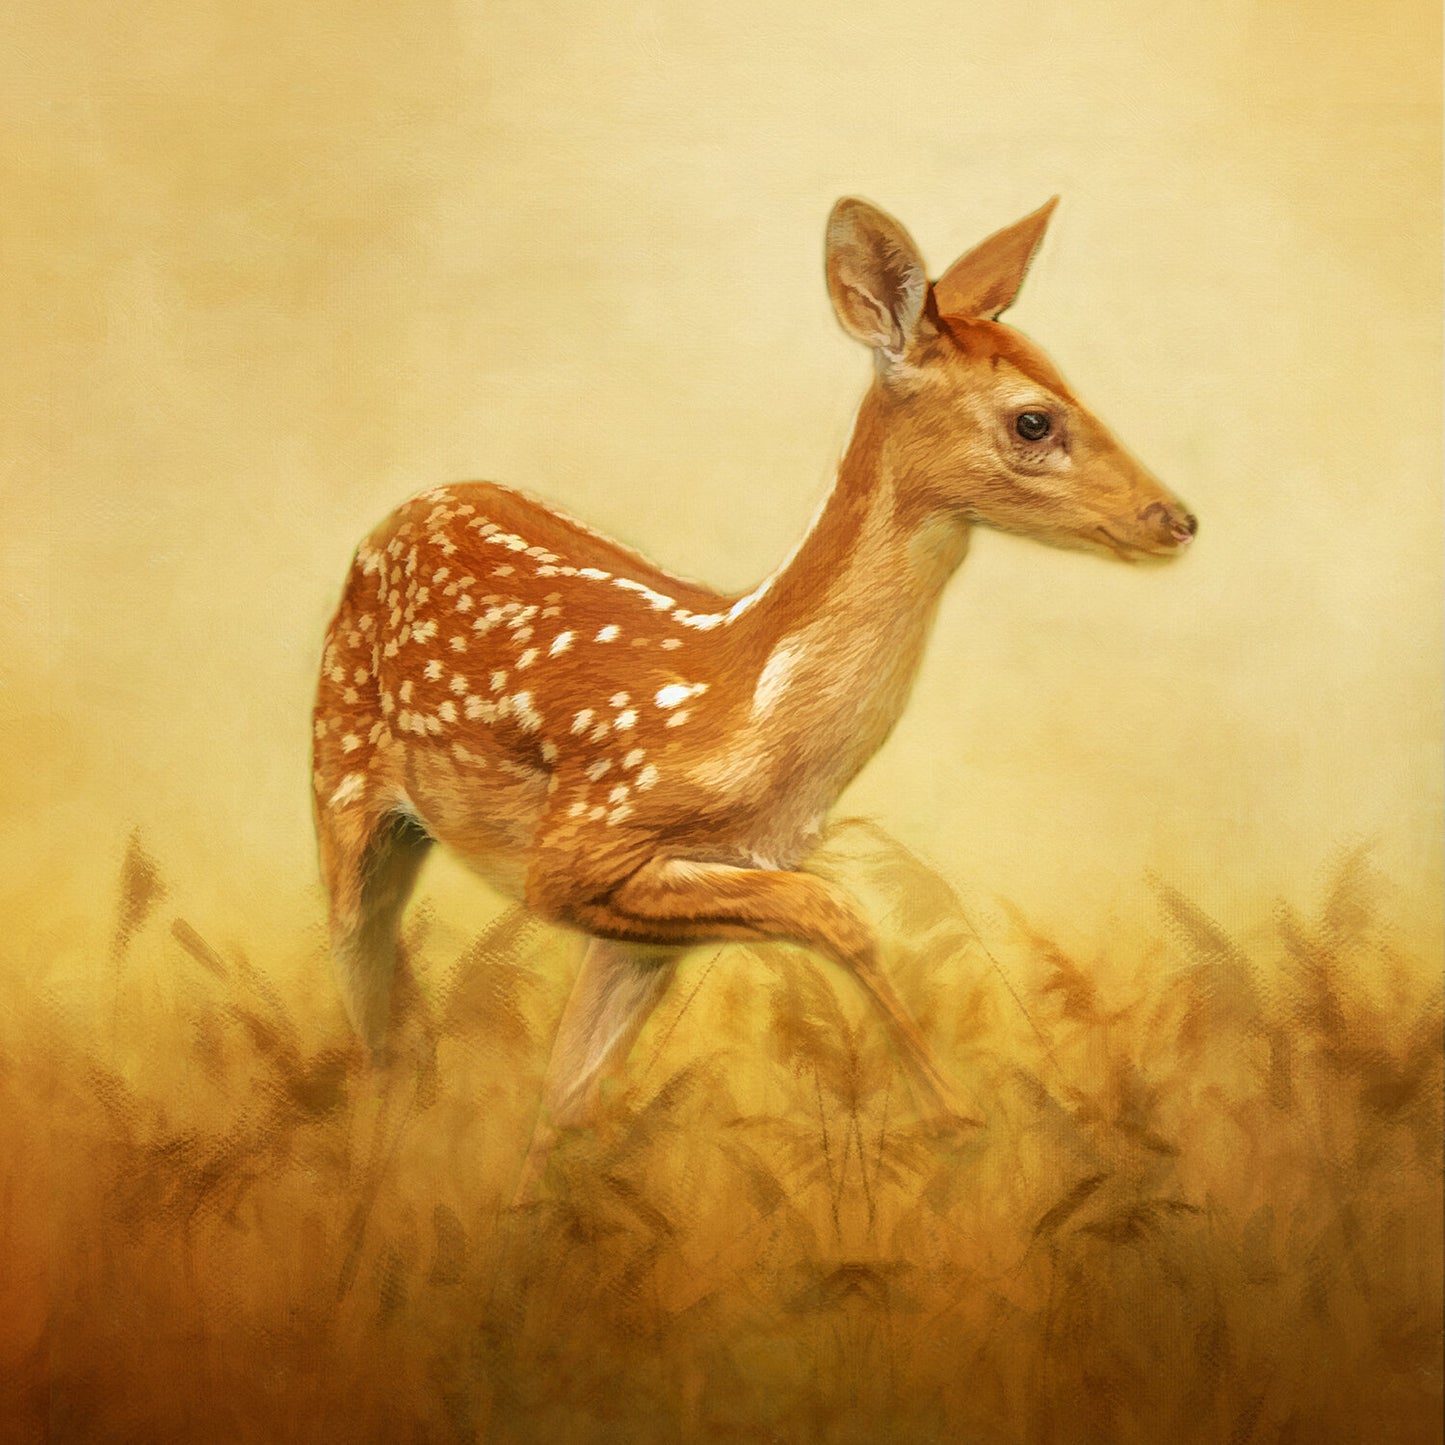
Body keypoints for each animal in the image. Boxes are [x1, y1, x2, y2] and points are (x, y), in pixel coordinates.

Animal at [311, 196, 1196, 1198]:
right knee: (375, 1024)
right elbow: (835, 911)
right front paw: (954, 1114)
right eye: (1034, 420)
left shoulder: (652, 917)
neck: (751, 709)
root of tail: (405, 508)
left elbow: (569, 1102)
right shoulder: (577, 849)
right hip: (341, 783)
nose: (1176, 519)